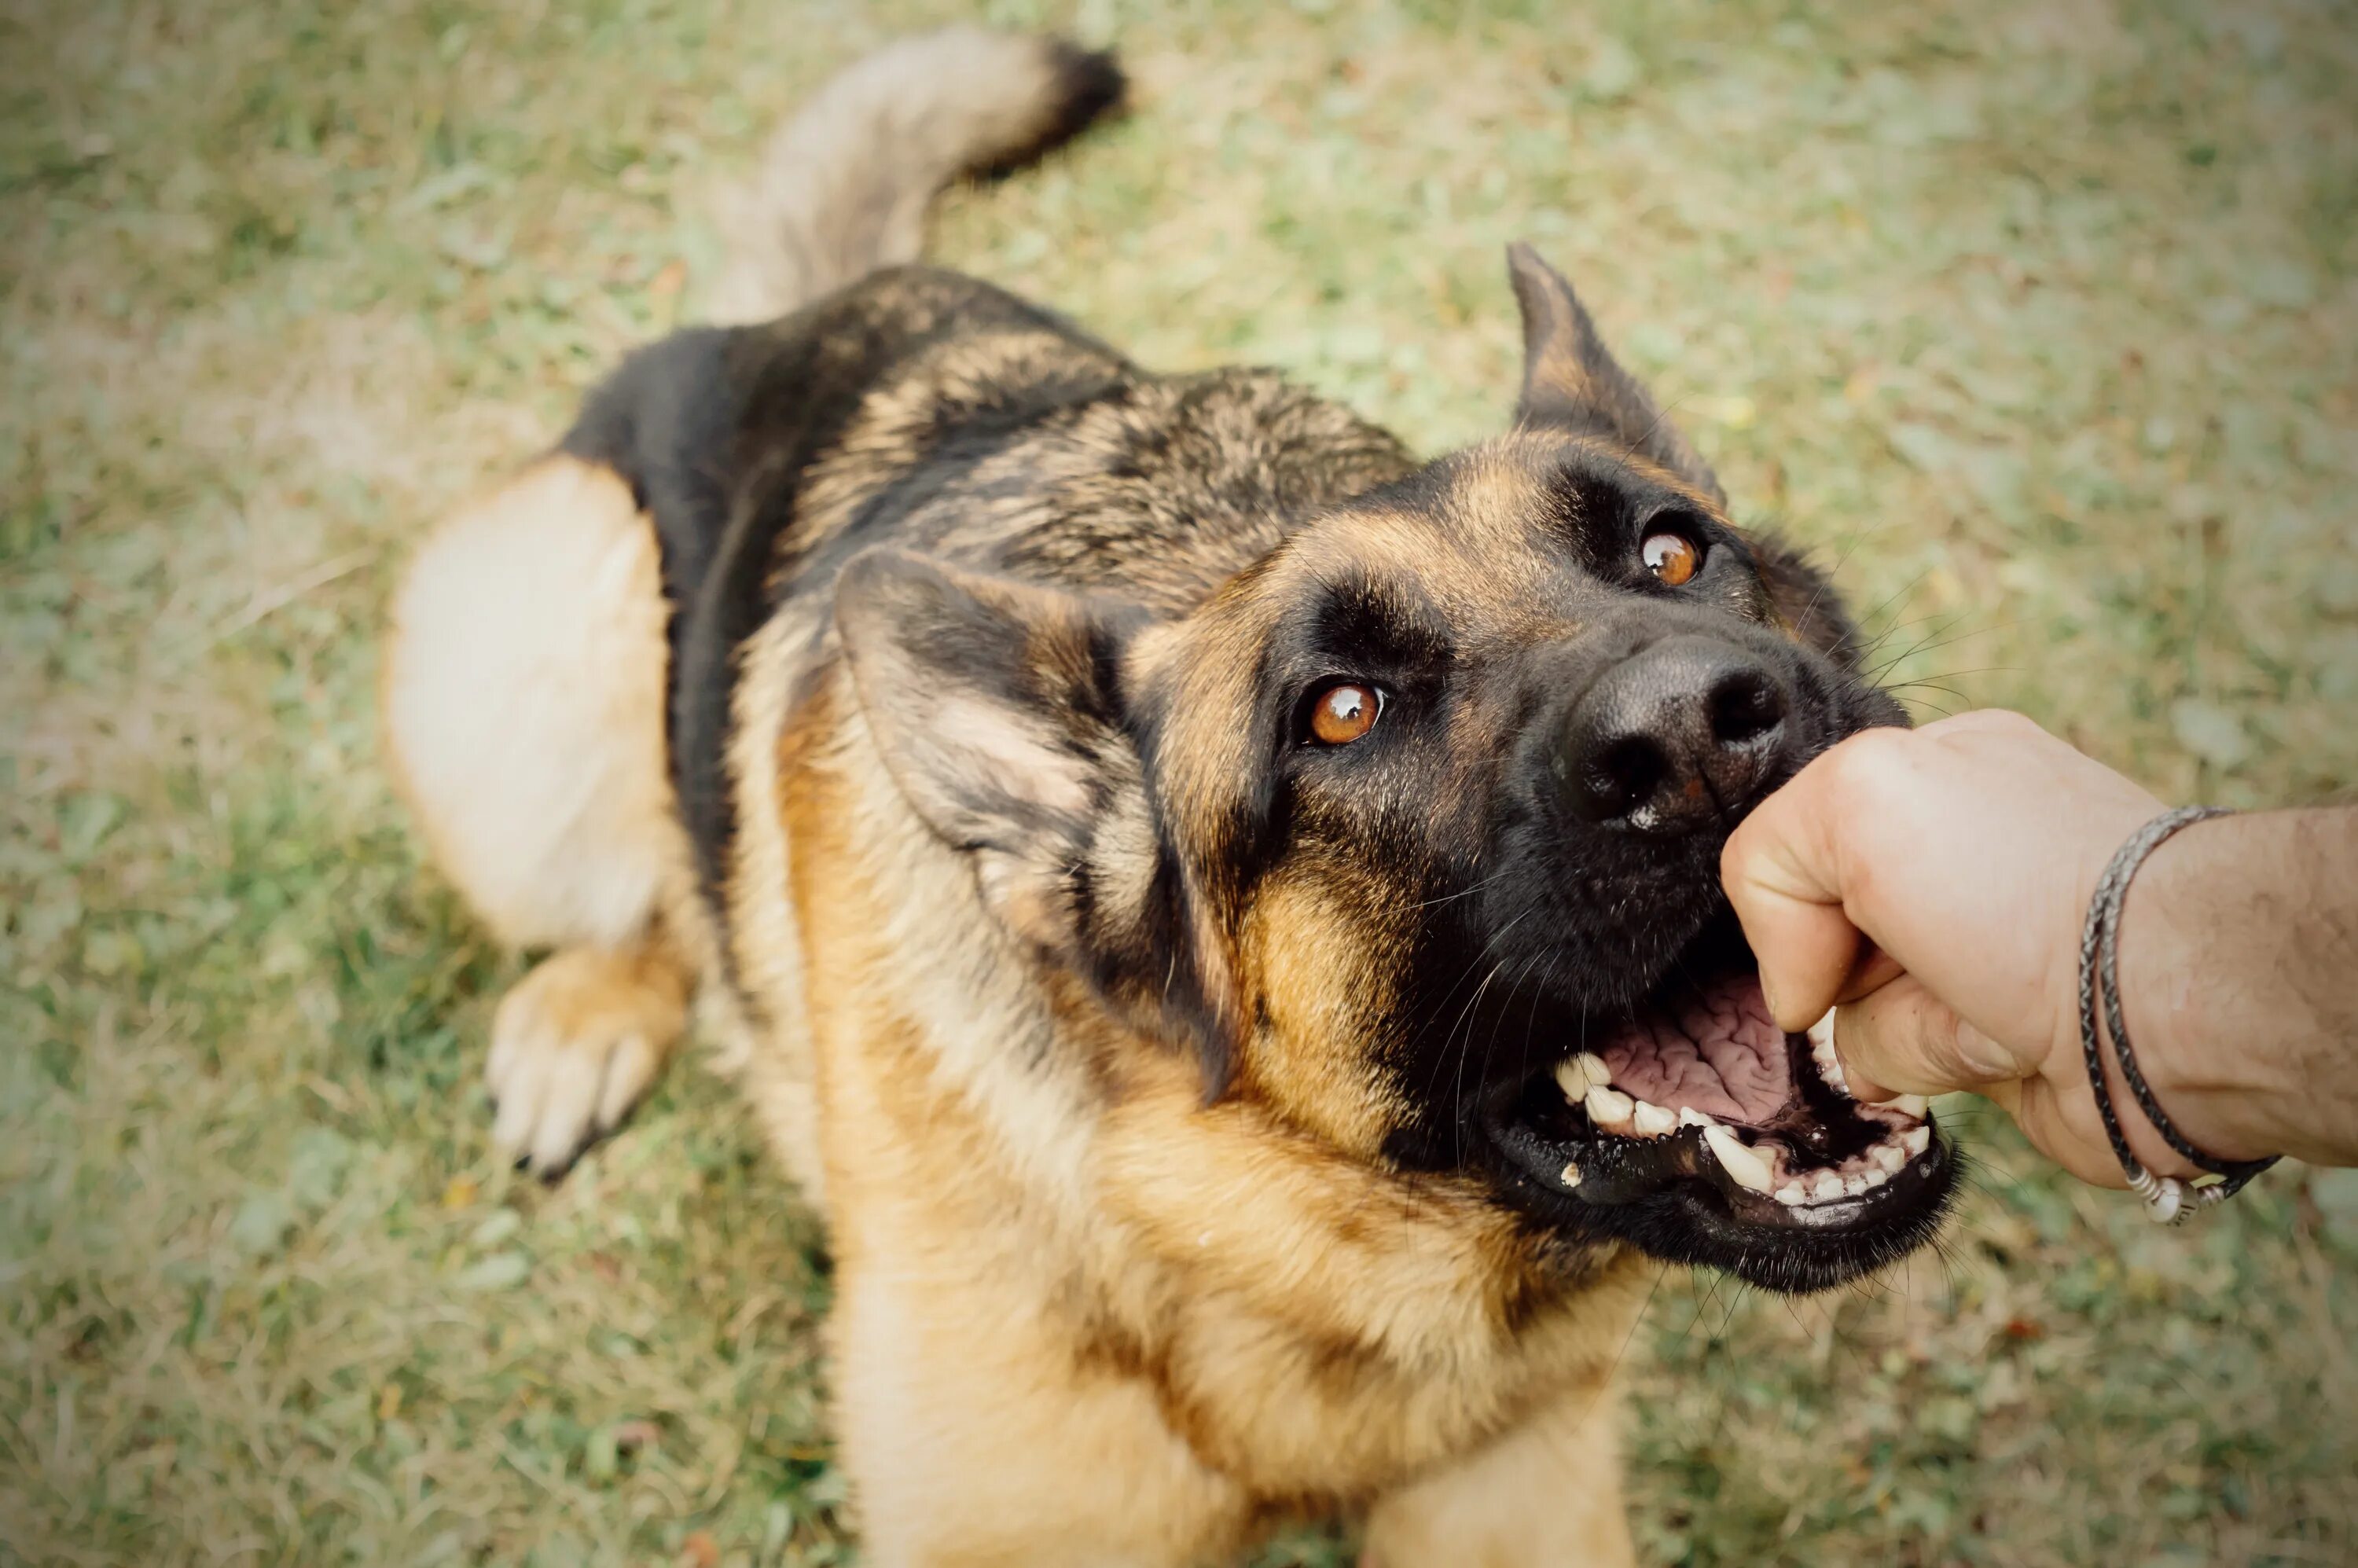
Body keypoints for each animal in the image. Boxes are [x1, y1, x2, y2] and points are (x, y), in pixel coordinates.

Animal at [391, 28, 1952, 1566]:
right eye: (1339, 711)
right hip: (553, 622)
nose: (1698, 734)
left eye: (1671, 552)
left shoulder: (1516, 1491)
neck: (1278, 1241)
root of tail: (818, 309)